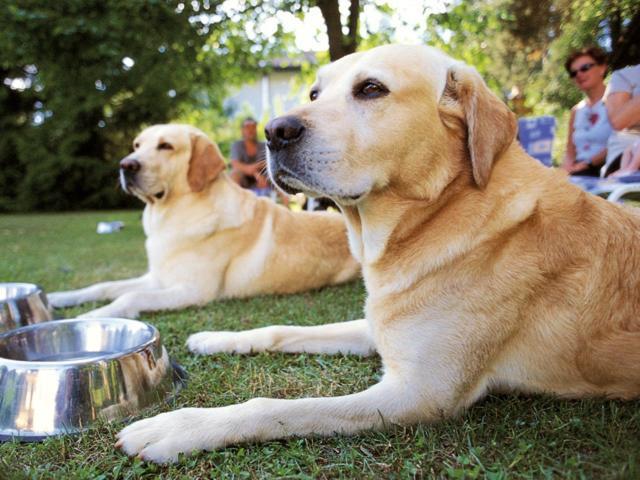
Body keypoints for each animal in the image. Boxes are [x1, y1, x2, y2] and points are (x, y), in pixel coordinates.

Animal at [48, 124, 360, 318]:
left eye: (166, 146)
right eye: (137, 144)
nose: (126, 164)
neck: (172, 215)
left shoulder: (193, 290)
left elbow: (130, 297)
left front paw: (89, 316)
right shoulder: (157, 278)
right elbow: (104, 286)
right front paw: (59, 298)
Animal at [115, 44, 640, 462]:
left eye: (371, 88)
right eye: (314, 93)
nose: (274, 131)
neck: (433, 216)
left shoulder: (419, 393)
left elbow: (277, 408)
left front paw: (181, 426)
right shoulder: (376, 328)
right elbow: (281, 328)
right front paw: (219, 337)